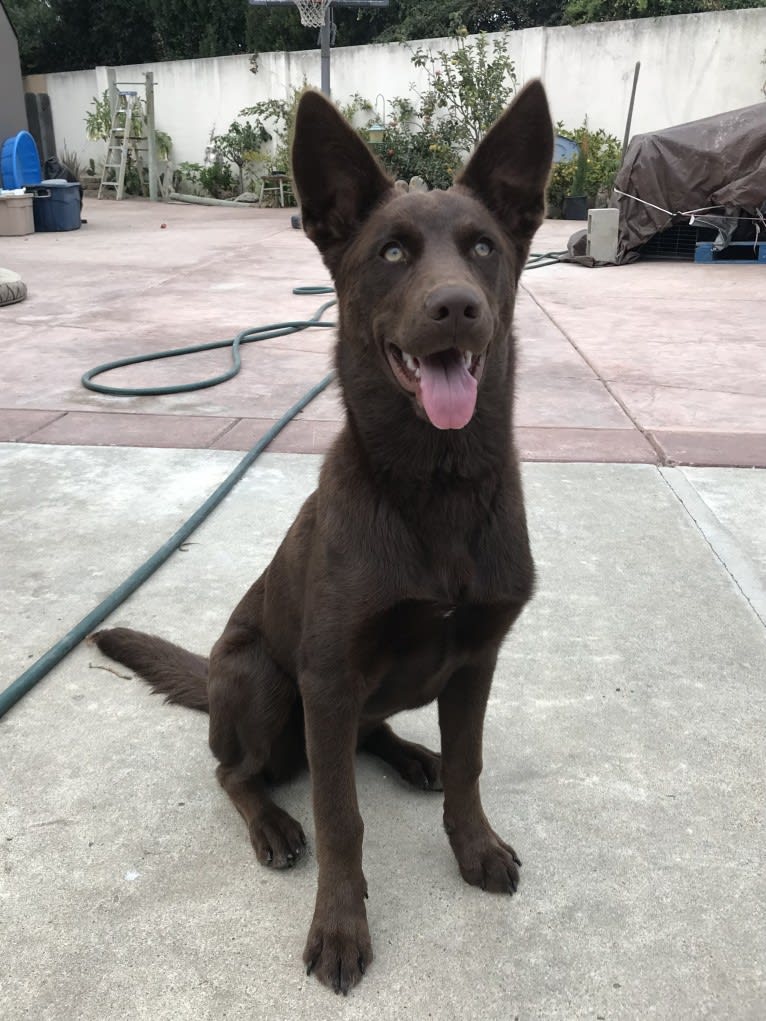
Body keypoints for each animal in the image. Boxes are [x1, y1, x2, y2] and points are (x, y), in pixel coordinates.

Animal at [92, 83, 555, 992]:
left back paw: (413, 755)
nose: (458, 307)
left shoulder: (476, 660)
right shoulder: (330, 675)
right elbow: (341, 815)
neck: (437, 484)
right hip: (267, 678)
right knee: (235, 769)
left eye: (483, 247)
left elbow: (471, 766)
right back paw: (272, 820)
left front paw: (473, 842)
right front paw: (341, 924)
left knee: (372, 736)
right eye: (392, 253)